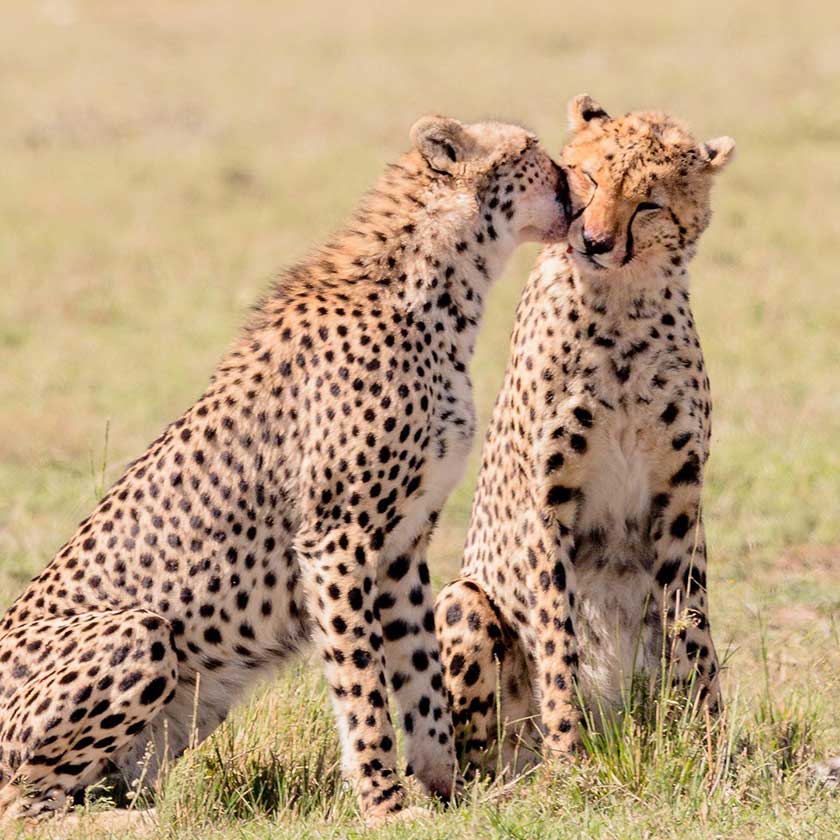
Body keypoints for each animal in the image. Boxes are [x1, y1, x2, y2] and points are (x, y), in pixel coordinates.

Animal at [0, 115, 568, 824]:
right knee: (22, 803)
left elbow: (421, 680)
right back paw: (137, 821)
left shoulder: (402, 544)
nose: (577, 185)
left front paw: (448, 795)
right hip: (143, 631)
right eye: (533, 152)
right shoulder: (337, 538)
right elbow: (362, 685)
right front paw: (385, 804)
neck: (437, 290)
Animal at [436, 97, 732, 776]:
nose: (594, 242)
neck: (622, 306)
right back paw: (522, 774)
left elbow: (693, 627)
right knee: (478, 755)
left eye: (648, 203)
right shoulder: (548, 505)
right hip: (461, 601)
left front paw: (712, 750)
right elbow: (556, 634)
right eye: (590, 179)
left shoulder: (680, 501)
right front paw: (571, 756)